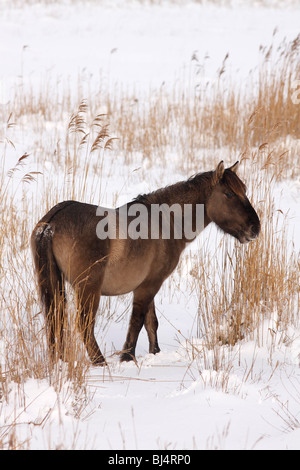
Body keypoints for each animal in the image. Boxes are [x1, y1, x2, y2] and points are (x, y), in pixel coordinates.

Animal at [30, 161, 260, 364]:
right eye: (229, 194)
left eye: (244, 189)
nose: (255, 228)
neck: (165, 222)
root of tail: (50, 224)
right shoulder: (149, 285)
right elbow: (138, 321)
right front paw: (127, 357)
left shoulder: (147, 284)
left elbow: (151, 323)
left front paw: (154, 353)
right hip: (88, 288)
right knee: (84, 326)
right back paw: (100, 363)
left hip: (56, 285)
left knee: (55, 321)